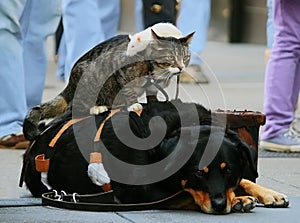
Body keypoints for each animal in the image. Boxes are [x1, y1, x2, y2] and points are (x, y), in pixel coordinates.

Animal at [20, 100, 288, 213]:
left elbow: (245, 179)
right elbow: (182, 195)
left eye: (228, 170)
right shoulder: (139, 192)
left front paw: (267, 193)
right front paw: (239, 199)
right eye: (198, 173)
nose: (221, 205)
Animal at [22, 28, 192, 140]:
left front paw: (154, 102)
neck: (155, 70)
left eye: (185, 57)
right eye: (170, 57)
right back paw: (97, 107)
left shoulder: (152, 86)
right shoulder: (118, 69)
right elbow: (129, 89)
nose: (181, 67)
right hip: (90, 78)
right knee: (75, 107)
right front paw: (134, 104)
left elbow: (152, 94)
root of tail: (70, 82)